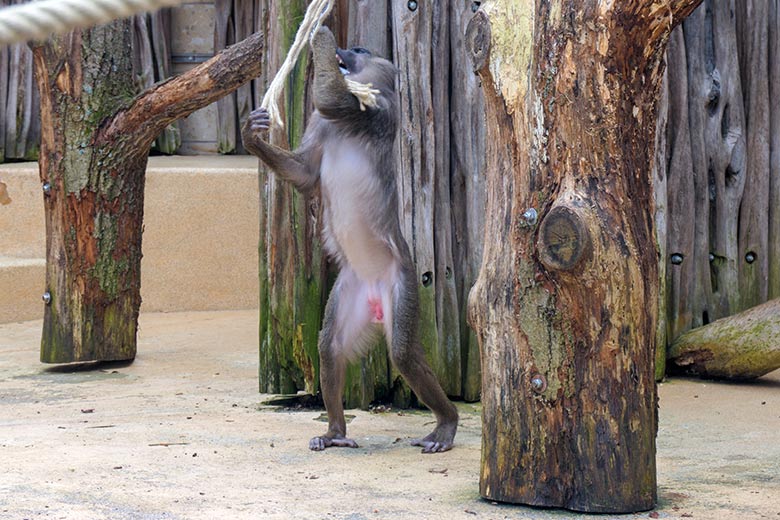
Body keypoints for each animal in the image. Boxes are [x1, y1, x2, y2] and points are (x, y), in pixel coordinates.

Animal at [239, 26, 458, 452]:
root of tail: (374, 291)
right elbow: (305, 174)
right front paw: (252, 136)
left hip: (401, 282)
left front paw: (320, 34)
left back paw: (447, 423)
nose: (343, 49)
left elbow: (329, 98)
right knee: (330, 346)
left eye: (359, 49)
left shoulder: (375, 111)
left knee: (403, 354)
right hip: (351, 290)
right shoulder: (323, 126)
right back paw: (335, 432)